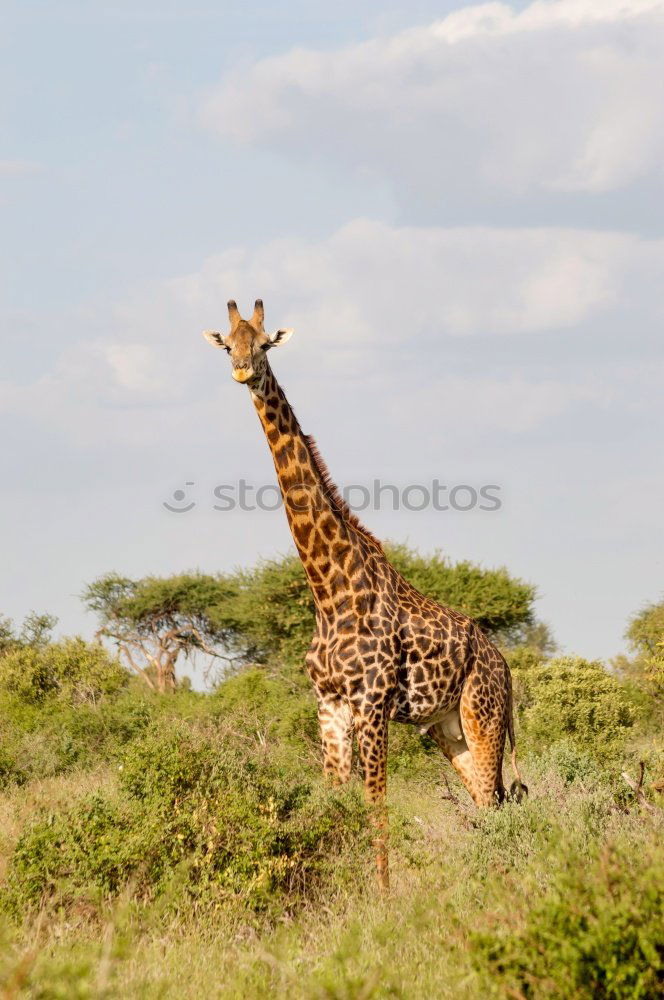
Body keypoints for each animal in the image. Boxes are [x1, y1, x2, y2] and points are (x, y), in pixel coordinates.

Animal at [205, 298, 528, 892]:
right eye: (228, 344)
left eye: (263, 344)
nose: (241, 371)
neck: (329, 591)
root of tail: (506, 666)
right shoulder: (329, 705)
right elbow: (332, 799)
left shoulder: (372, 705)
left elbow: (376, 804)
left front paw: (382, 894)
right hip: (445, 728)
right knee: (484, 797)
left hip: (484, 714)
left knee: (495, 797)